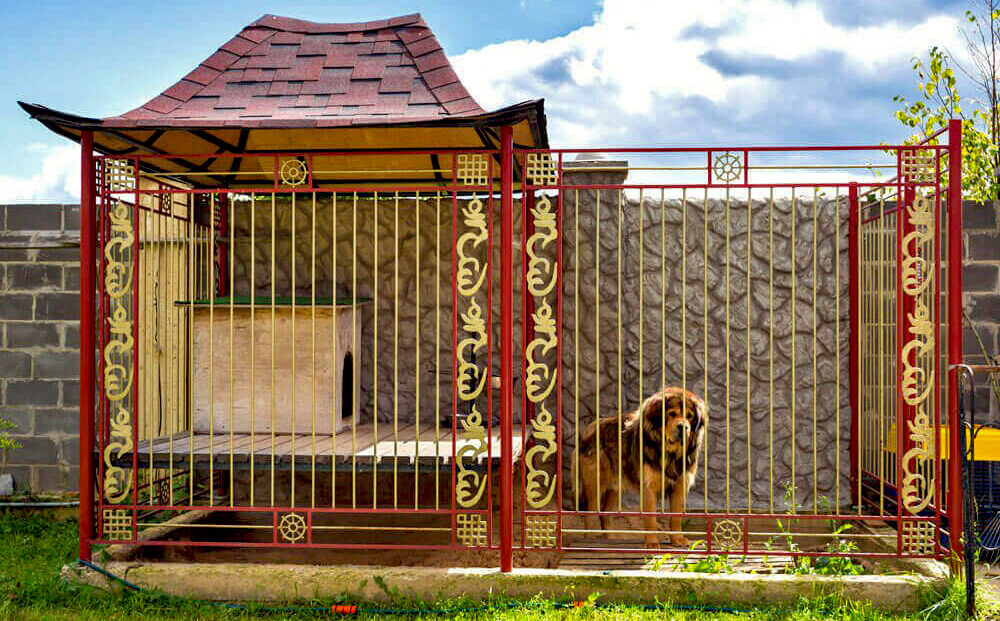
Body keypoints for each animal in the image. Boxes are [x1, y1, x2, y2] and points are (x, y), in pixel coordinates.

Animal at [576, 388, 708, 548]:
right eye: (671, 414)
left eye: (690, 417)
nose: (684, 427)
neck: (669, 453)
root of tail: (589, 428)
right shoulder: (649, 485)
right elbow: (651, 518)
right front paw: (651, 543)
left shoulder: (680, 485)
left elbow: (676, 516)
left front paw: (678, 539)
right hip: (596, 483)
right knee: (590, 515)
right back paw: (588, 540)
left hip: (615, 487)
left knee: (605, 515)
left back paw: (610, 539)